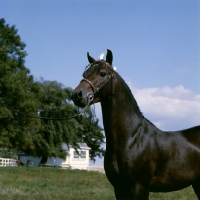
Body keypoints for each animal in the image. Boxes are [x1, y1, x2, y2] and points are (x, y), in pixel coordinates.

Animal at [72, 49, 200, 199]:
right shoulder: (119, 188)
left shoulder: (140, 187)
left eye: (102, 73)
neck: (132, 138)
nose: (77, 94)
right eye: (84, 74)